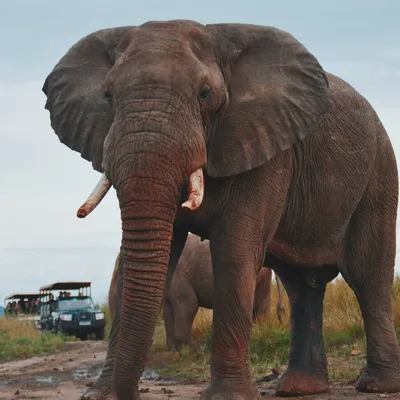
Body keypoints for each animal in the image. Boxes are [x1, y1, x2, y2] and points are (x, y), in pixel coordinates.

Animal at [108, 234, 286, 350]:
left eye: (119, 274)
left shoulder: (178, 275)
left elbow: (189, 304)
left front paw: (193, 350)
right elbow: (168, 310)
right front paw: (175, 350)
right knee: (261, 310)